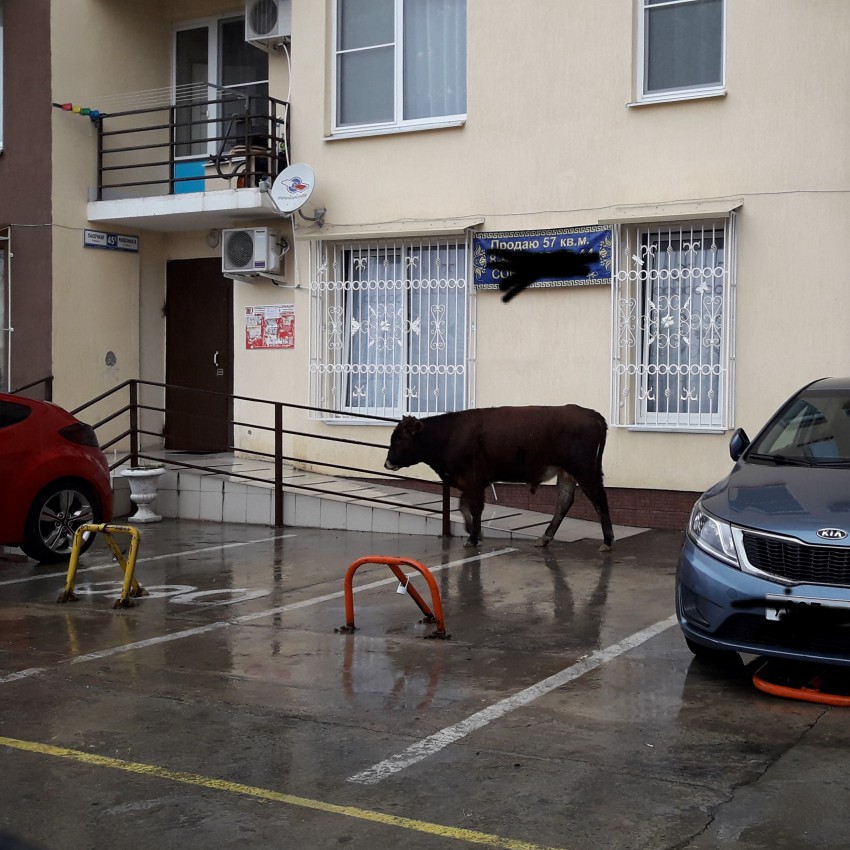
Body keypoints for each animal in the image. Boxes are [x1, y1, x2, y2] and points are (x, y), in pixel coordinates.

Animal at [384, 405, 614, 550]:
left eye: (398, 440)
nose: (387, 463)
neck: (450, 434)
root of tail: (592, 414)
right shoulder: (471, 483)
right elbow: (463, 506)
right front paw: (473, 532)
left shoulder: (473, 479)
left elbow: (474, 508)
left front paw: (473, 537)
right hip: (567, 472)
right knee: (564, 501)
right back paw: (545, 537)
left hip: (584, 470)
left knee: (599, 499)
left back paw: (608, 540)